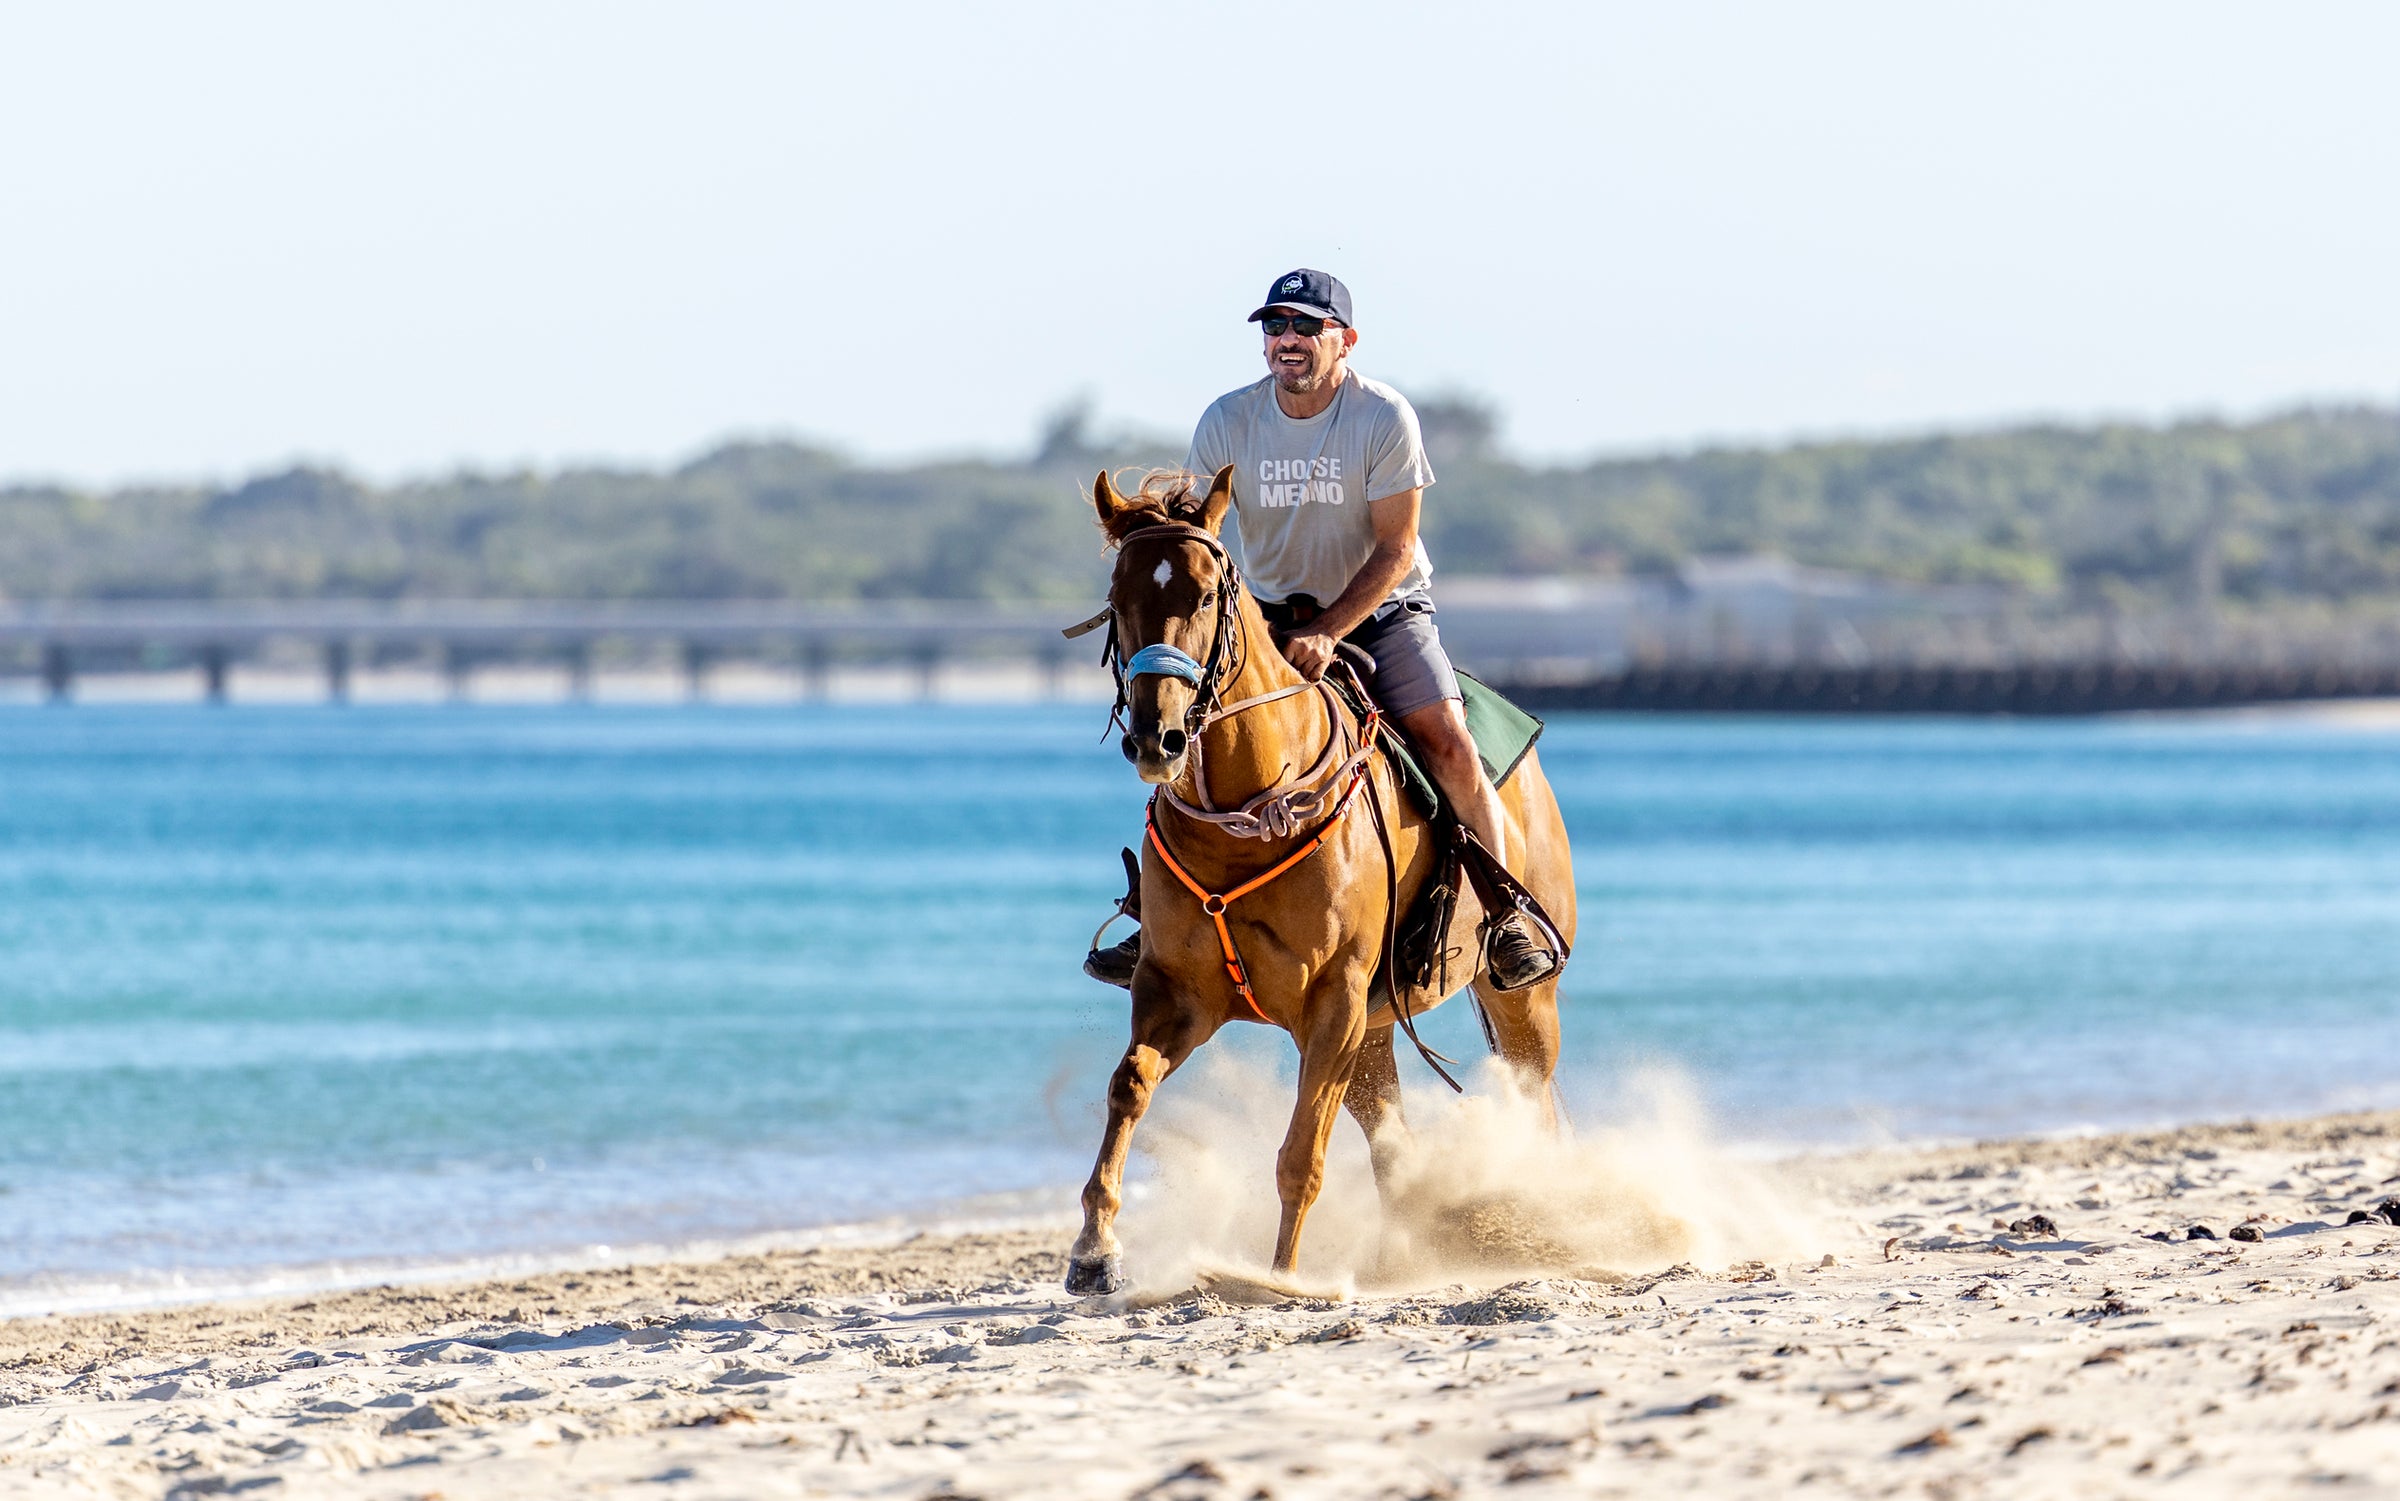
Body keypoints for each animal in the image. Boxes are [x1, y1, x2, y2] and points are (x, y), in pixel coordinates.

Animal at [1064, 466, 1579, 1296]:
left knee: (1534, 1101)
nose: (1156, 737)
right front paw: (1094, 1249)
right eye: (1119, 596)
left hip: (1521, 999)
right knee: (1397, 1147)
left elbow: (1302, 1152)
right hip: (1376, 1029)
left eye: (1205, 595)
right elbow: (1129, 1086)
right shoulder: (1176, 992)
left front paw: (1278, 1277)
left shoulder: (1333, 1002)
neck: (1246, 816)